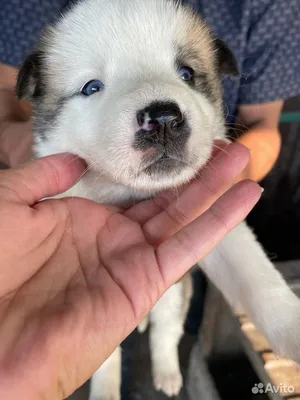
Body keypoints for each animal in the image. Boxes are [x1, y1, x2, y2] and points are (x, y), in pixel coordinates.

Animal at [15, 0, 300, 400]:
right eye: (91, 87)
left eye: (187, 73)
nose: (164, 118)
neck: (135, 194)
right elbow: (105, 355)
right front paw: (105, 390)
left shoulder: (220, 226)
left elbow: (258, 278)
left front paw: (293, 327)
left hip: (179, 292)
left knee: (166, 331)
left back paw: (167, 373)